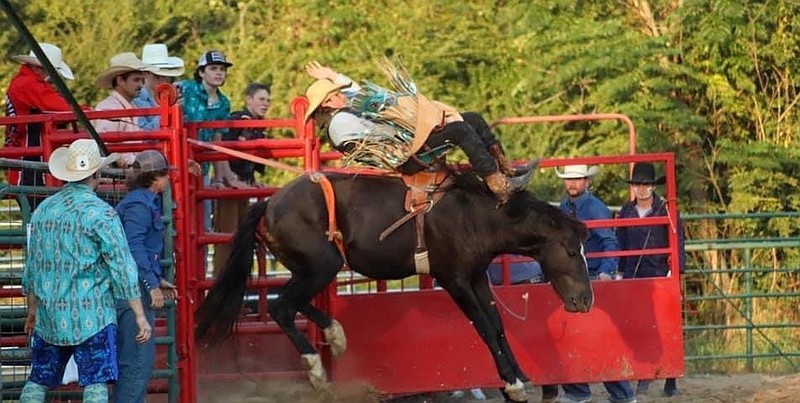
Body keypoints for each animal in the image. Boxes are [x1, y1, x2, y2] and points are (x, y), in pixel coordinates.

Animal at [194, 170, 592, 400]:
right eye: (572, 250)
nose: (585, 301)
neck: (475, 214)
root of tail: (269, 203)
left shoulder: (478, 276)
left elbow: (497, 326)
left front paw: (521, 378)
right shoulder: (455, 280)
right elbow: (482, 327)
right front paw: (513, 384)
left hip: (313, 268)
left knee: (291, 302)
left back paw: (336, 336)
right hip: (321, 265)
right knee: (281, 306)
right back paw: (318, 372)